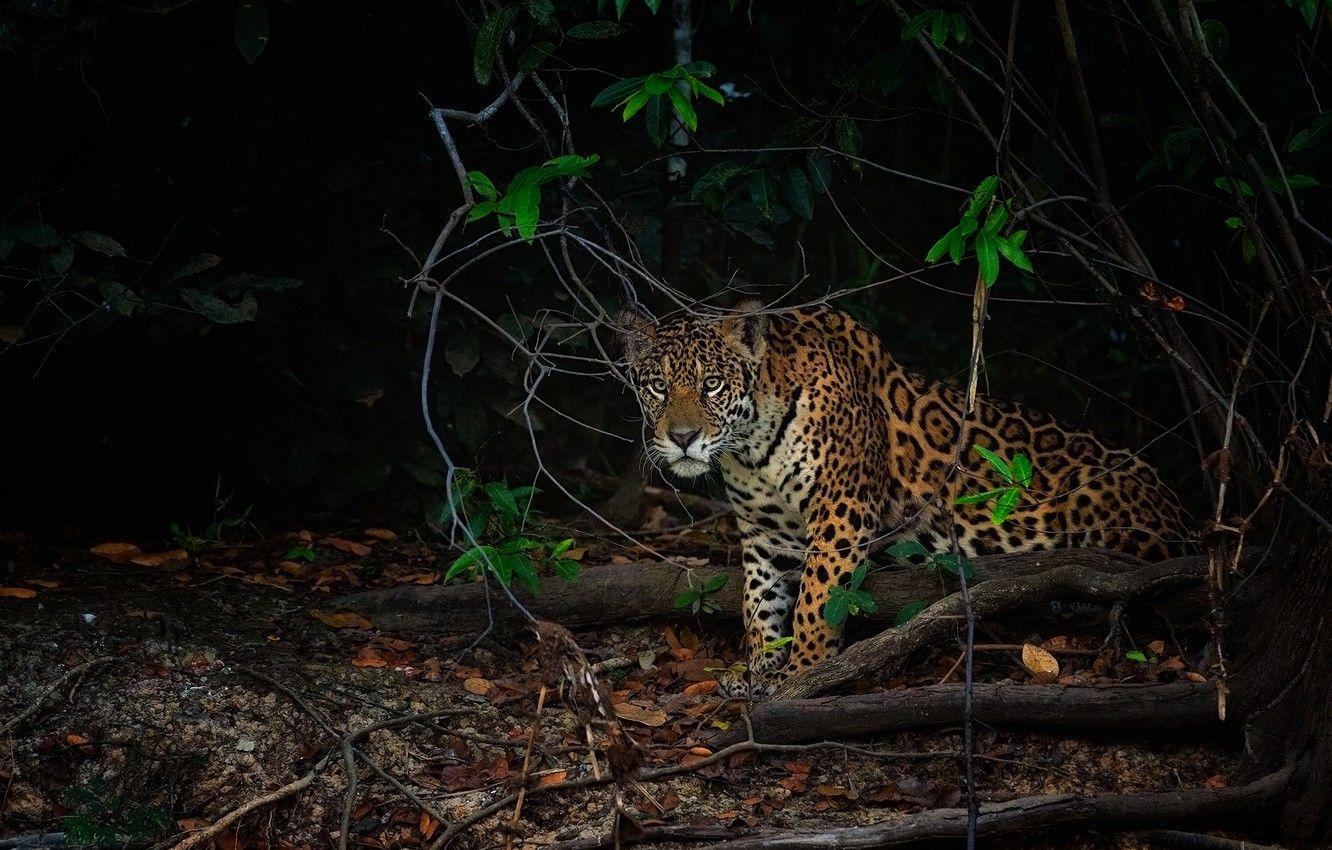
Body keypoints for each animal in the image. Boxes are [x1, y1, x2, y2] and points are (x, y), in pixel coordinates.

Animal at [617, 301, 1188, 698]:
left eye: (712, 385)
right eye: (658, 387)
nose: (683, 438)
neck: (751, 446)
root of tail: (1176, 509)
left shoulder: (841, 510)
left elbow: (815, 600)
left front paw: (802, 672)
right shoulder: (765, 534)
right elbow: (759, 605)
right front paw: (760, 669)